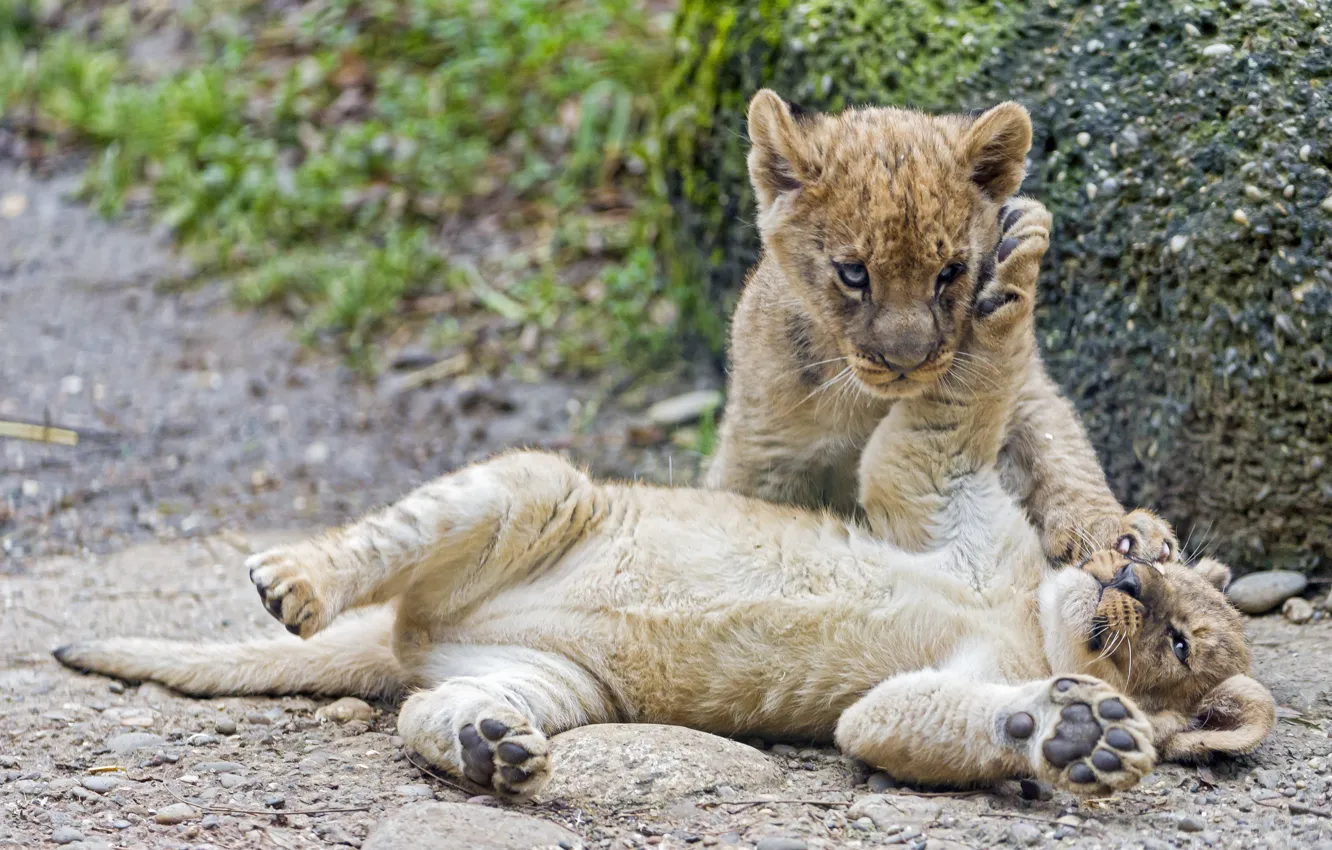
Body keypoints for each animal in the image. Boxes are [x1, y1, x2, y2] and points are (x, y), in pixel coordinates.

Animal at [53, 199, 1273, 802]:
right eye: (1142, 561)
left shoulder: (925, 688)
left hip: (559, 682)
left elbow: (896, 722)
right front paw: (1008, 258)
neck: (1023, 617)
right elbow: (953, 403)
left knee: (417, 715)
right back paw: (294, 581)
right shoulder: (937, 490)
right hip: (536, 487)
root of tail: (413, 638)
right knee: (382, 546)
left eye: (1175, 640)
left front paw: (1079, 735)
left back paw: (488, 747)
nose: (1124, 576)